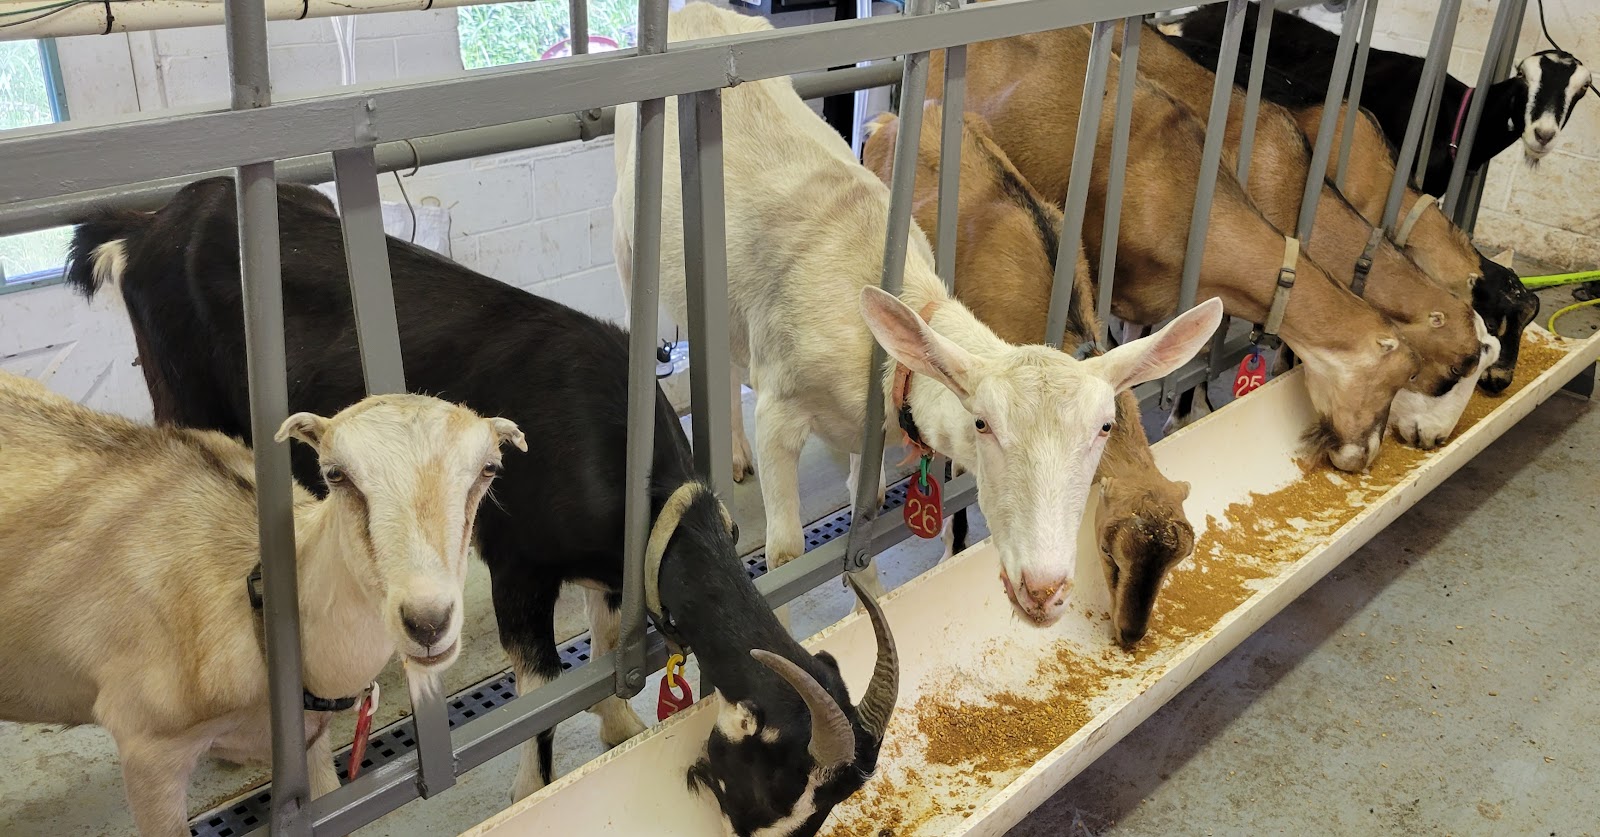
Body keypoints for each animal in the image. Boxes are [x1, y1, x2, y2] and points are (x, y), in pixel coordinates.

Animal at [67, 176, 715, 804]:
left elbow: (606, 646)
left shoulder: (608, 578)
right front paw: (535, 788)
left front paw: (620, 726)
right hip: (186, 400)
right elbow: (542, 694)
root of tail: (151, 224)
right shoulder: (517, 566)